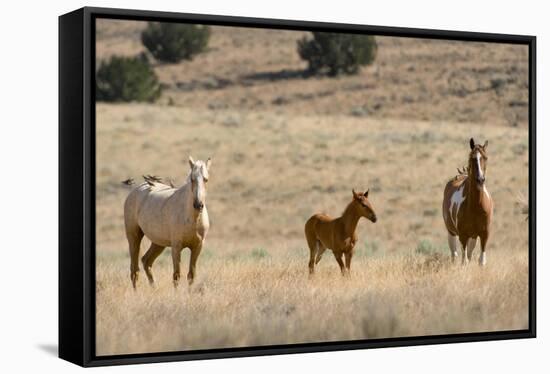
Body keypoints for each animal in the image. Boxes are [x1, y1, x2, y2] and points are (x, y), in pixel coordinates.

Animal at [124, 156, 212, 288]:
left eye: (206, 179)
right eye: (192, 179)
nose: (198, 205)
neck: (193, 219)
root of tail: (136, 190)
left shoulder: (197, 247)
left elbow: (191, 275)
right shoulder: (176, 247)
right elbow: (176, 275)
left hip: (158, 243)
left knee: (146, 261)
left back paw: (154, 289)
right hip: (134, 237)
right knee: (134, 271)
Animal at [444, 138, 496, 266]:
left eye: (485, 157)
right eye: (472, 158)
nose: (480, 180)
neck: (476, 206)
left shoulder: (484, 234)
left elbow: (481, 261)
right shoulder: (463, 235)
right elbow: (464, 261)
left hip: (473, 237)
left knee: (468, 254)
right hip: (452, 232)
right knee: (454, 254)